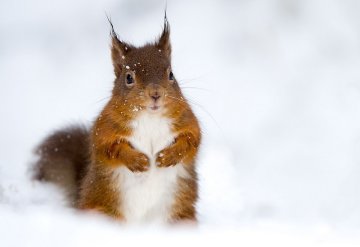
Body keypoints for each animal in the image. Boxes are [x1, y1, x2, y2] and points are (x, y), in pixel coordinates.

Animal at [33, 16, 202, 223]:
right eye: (129, 77)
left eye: (171, 74)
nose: (155, 93)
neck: (150, 117)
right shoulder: (104, 127)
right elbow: (110, 147)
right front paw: (138, 161)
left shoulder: (187, 120)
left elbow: (192, 140)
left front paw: (166, 157)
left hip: (180, 218)